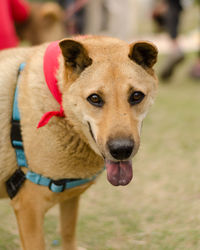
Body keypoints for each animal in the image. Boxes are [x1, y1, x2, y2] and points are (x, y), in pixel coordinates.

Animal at [0, 35, 158, 250]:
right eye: (95, 98)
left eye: (136, 96)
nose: (121, 150)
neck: (58, 99)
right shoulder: (29, 209)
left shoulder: (70, 198)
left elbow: (68, 234)